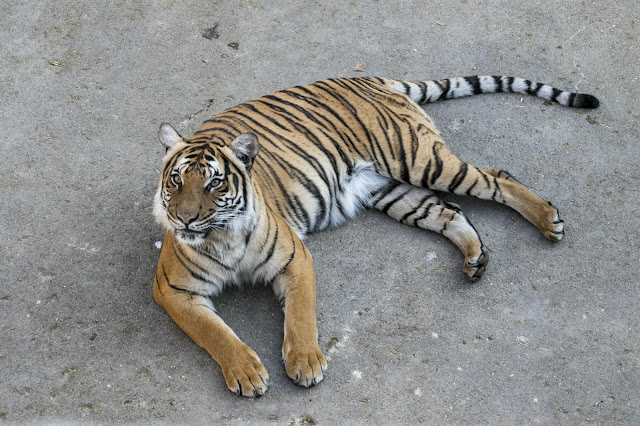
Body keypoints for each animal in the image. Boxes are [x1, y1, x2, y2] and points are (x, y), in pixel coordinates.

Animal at [154, 75, 600, 396]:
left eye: (214, 183)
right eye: (176, 180)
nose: (185, 219)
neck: (220, 236)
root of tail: (372, 78)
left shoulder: (294, 258)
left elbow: (300, 314)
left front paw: (306, 362)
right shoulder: (173, 288)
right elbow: (213, 332)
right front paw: (246, 370)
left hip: (420, 160)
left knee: (496, 177)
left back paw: (548, 220)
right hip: (390, 191)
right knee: (449, 211)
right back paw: (475, 259)